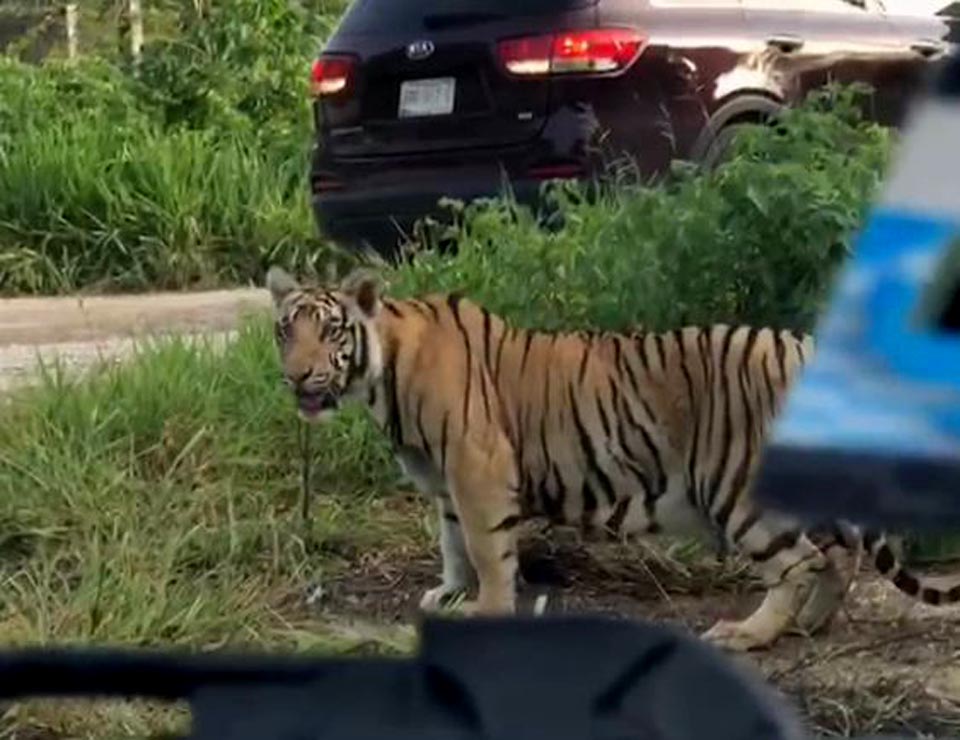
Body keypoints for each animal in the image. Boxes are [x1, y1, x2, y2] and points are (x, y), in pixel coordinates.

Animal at [264, 268, 960, 652]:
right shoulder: (445, 482)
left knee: (801, 562)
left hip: (737, 488)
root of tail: (810, 346)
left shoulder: (477, 467)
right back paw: (811, 625)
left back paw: (749, 634)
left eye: (330, 331)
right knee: (839, 555)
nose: (295, 375)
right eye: (284, 330)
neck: (381, 371)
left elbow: (487, 550)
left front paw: (487, 609)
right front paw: (450, 594)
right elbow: (452, 540)